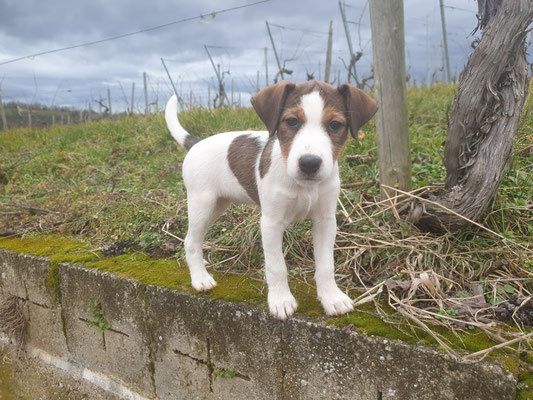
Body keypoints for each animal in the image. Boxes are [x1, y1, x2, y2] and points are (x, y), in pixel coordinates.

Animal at [164, 80, 376, 318]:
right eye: (291, 121)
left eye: (334, 125)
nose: (309, 164)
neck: (304, 186)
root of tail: (196, 143)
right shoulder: (271, 223)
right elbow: (277, 266)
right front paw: (281, 300)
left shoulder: (326, 221)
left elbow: (325, 265)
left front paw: (332, 297)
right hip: (202, 204)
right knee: (191, 241)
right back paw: (200, 278)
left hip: (218, 205)